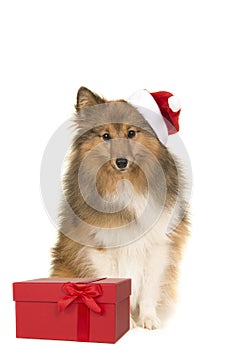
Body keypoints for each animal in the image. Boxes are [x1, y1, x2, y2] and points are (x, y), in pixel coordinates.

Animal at [50, 86, 189, 330]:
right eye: (106, 136)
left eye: (131, 133)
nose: (121, 162)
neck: (125, 184)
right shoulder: (100, 247)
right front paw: (127, 322)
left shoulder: (158, 245)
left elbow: (149, 289)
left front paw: (148, 319)